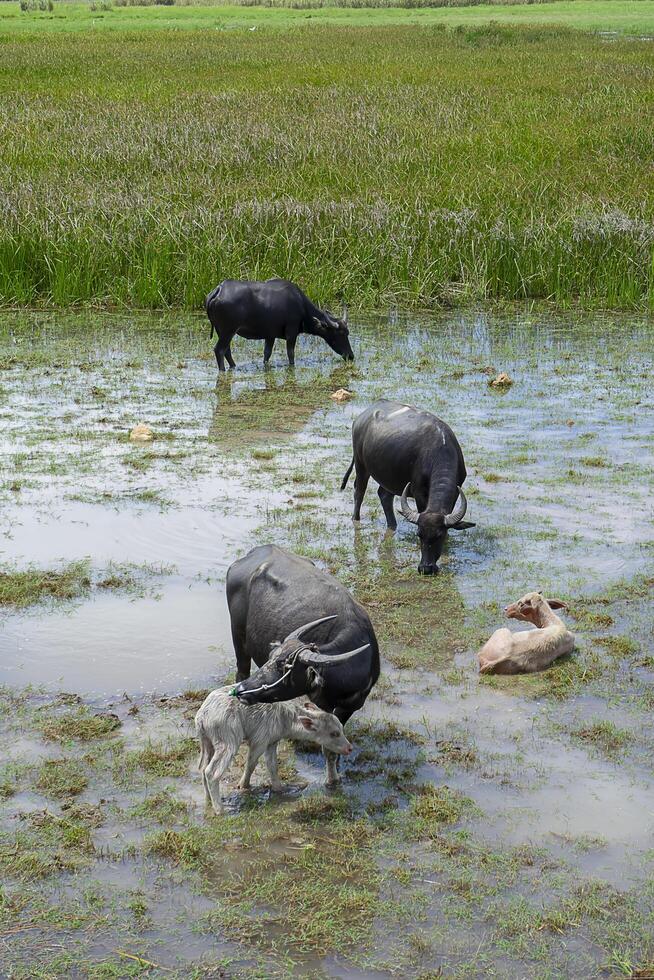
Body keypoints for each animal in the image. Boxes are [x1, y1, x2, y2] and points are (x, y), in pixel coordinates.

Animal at [196, 684, 354, 816]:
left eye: (341, 728)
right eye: (334, 734)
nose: (349, 748)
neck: (286, 718)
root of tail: (202, 716)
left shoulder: (272, 741)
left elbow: (272, 765)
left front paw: (279, 789)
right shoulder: (260, 740)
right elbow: (251, 763)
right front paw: (243, 785)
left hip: (207, 741)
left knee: (203, 768)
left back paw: (208, 799)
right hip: (227, 740)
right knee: (211, 772)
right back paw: (220, 810)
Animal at [208, 280, 356, 372]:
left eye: (348, 333)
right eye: (339, 334)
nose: (350, 356)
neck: (301, 305)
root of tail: (219, 289)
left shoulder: (270, 336)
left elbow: (267, 354)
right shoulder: (291, 332)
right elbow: (291, 354)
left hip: (222, 331)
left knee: (227, 350)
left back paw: (234, 366)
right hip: (228, 331)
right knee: (219, 350)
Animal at [227, 548, 380, 784]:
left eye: (283, 666)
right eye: (271, 657)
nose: (243, 691)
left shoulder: (353, 704)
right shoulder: (324, 704)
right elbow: (328, 745)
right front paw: (331, 780)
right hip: (238, 638)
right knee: (241, 670)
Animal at [340, 402, 474, 580]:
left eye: (440, 535)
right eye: (419, 534)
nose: (426, 568)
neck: (440, 450)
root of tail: (361, 417)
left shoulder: (455, 492)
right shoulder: (418, 492)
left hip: (388, 477)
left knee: (384, 495)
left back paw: (392, 525)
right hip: (361, 465)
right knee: (359, 492)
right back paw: (356, 519)